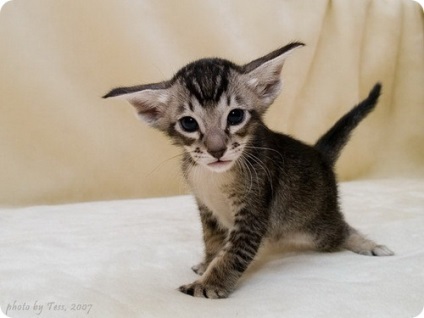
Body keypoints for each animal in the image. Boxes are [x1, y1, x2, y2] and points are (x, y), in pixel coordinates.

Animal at [103, 41, 394, 298]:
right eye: (188, 123)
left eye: (235, 116)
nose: (217, 150)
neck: (214, 177)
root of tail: (318, 154)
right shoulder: (207, 209)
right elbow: (213, 241)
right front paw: (207, 263)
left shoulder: (253, 213)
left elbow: (233, 254)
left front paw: (207, 285)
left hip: (314, 227)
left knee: (340, 230)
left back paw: (367, 244)